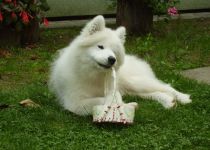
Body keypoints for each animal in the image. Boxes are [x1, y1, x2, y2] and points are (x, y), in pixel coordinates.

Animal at [49, 15, 192, 115]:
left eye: (114, 52)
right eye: (100, 46)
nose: (112, 59)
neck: (93, 75)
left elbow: (109, 98)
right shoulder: (75, 103)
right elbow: (103, 99)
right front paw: (125, 104)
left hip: (135, 82)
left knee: (166, 87)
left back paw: (183, 97)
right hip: (132, 89)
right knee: (155, 92)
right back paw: (168, 101)